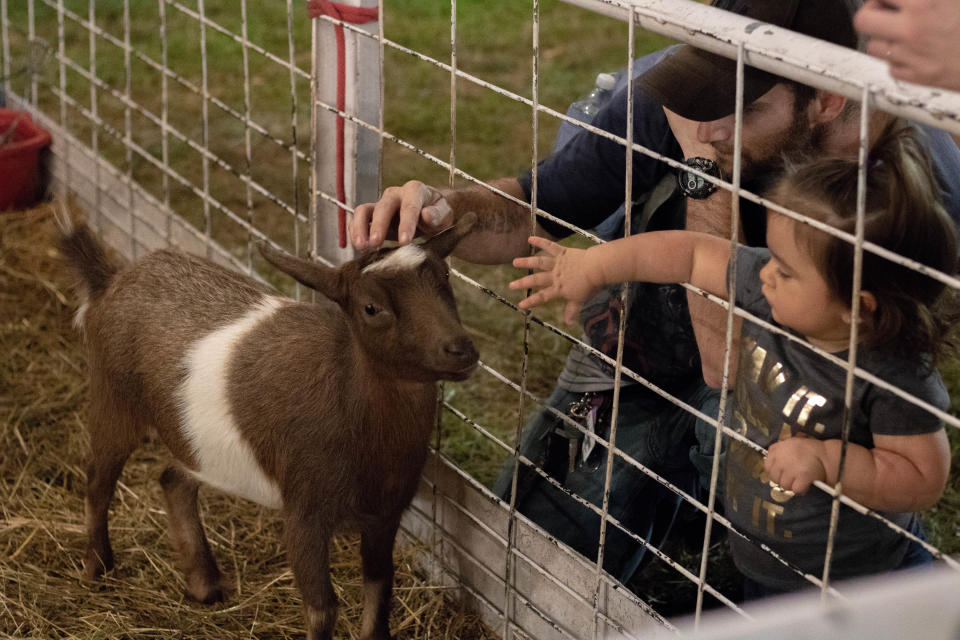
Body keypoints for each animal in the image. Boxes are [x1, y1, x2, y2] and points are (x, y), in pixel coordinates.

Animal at [58, 214, 478, 640]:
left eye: (445, 276)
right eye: (371, 307)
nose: (461, 350)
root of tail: (112, 279)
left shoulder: (385, 517)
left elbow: (378, 594)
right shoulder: (304, 515)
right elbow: (322, 609)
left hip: (199, 443)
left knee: (173, 480)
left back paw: (204, 584)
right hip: (113, 398)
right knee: (98, 481)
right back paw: (97, 568)